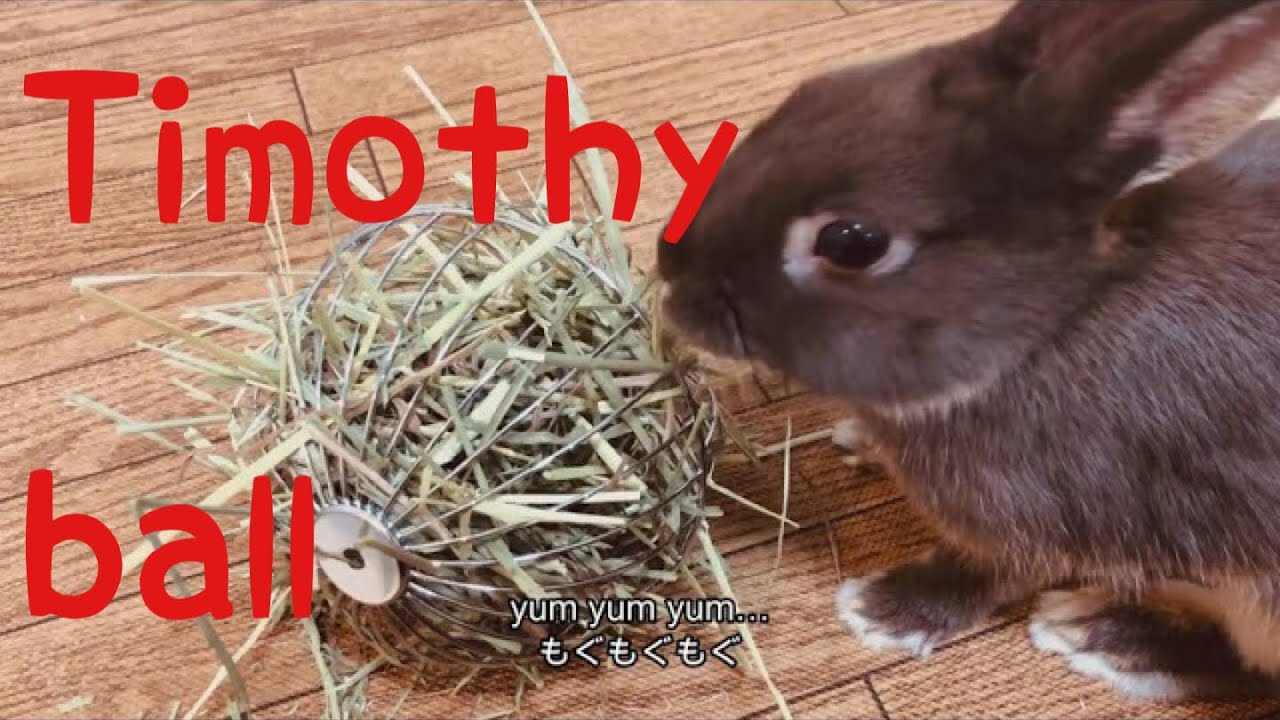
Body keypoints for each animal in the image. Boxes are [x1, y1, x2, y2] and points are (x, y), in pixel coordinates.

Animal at [656, 0, 1280, 702]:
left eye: (851, 242)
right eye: (811, 93)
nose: (671, 271)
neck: (1049, 327)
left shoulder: (1046, 514)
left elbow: (992, 571)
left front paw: (883, 611)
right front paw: (858, 440)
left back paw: (1102, 636)